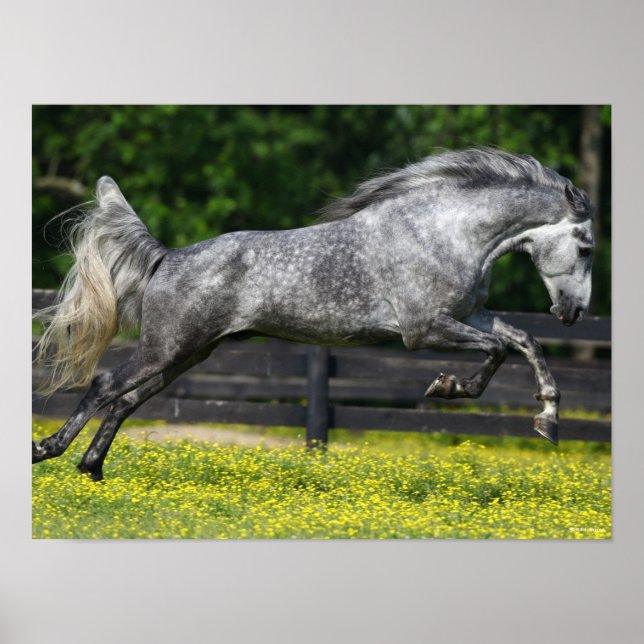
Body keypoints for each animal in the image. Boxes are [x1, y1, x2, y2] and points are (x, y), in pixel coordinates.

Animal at [33, 148, 595, 480]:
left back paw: (92, 469)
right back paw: (49, 451)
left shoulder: (470, 315)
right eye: (587, 247)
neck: (443, 232)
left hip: (187, 354)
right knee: (105, 386)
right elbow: (499, 349)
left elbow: (524, 341)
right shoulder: (424, 330)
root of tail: (167, 257)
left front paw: (548, 421)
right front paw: (448, 387)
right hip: (166, 347)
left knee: (126, 401)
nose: (571, 313)